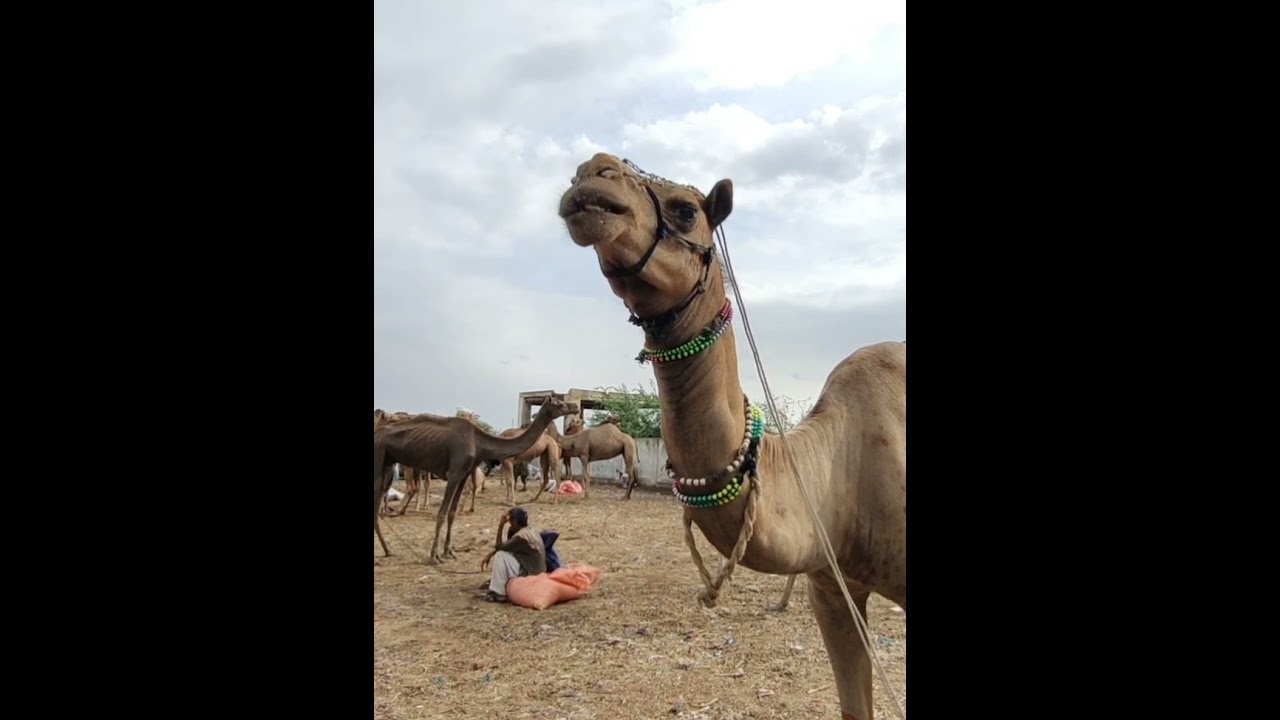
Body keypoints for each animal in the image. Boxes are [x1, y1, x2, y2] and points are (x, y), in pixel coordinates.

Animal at [373, 396, 578, 564]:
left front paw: (449, 552)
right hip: (380, 459)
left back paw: (388, 550)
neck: (479, 442)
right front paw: (435, 556)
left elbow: (452, 513)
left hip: (388, 465)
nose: (575, 406)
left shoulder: (464, 474)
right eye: (559, 404)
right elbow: (442, 513)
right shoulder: (454, 473)